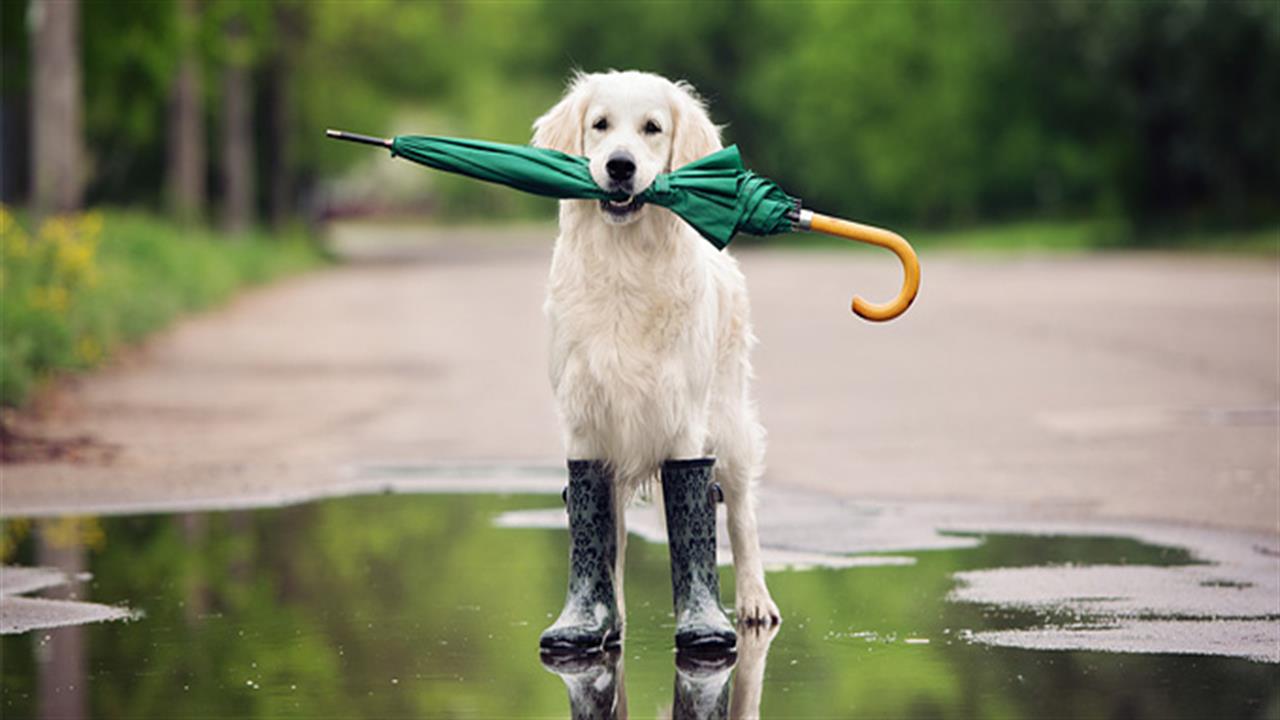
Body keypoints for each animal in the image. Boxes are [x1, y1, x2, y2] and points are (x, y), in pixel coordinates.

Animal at [532, 70, 778, 625]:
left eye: (652, 128)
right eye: (600, 124)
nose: (620, 166)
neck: (626, 265)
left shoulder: (683, 419)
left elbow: (700, 515)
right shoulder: (585, 421)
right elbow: (601, 532)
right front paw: (597, 617)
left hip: (728, 421)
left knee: (743, 516)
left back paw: (754, 600)